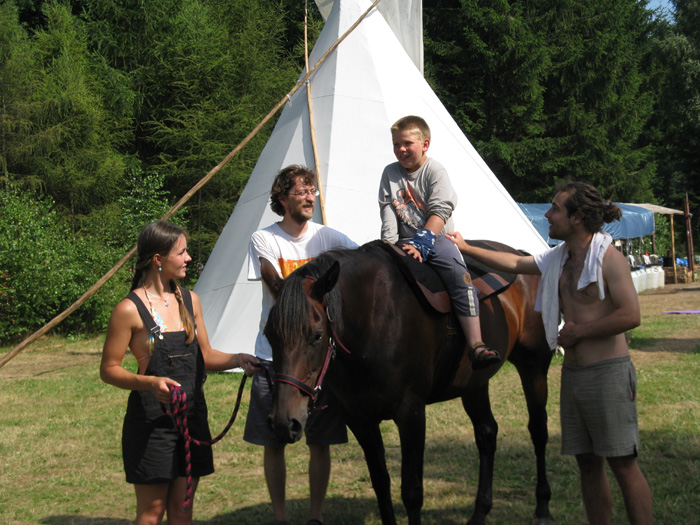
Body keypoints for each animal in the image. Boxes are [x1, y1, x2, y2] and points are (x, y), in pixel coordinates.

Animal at [262, 241, 554, 525]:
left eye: (317, 335)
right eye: (268, 334)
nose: (283, 422)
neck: (373, 321)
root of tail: (521, 255)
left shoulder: (411, 413)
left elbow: (412, 491)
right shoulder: (359, 419)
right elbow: (381, 483)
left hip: (533, 366)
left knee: (538, 429)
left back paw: (543, 507)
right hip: (474, 382)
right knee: (486, 433)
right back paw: (480, 512)